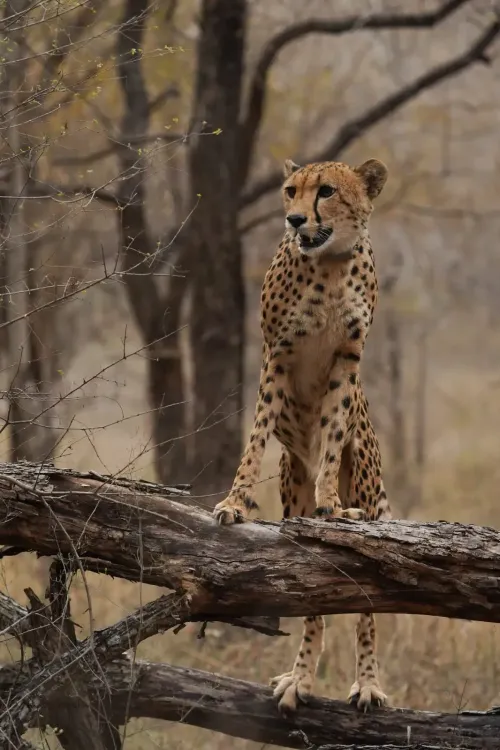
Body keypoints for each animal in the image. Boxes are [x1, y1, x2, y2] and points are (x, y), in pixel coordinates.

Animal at [213, 156, 392, 715]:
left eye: (327, 192)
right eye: (290, 190)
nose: (294, 220)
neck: (330, 263)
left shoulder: (346, 361)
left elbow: (332, 436)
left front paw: (331, 505)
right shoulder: (278, 355)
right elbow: (254, 437)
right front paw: (234, 503)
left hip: (369, 485)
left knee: (367, 610)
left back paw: (367, 682)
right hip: (292, 484)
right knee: (312, 603)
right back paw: (301, 678)